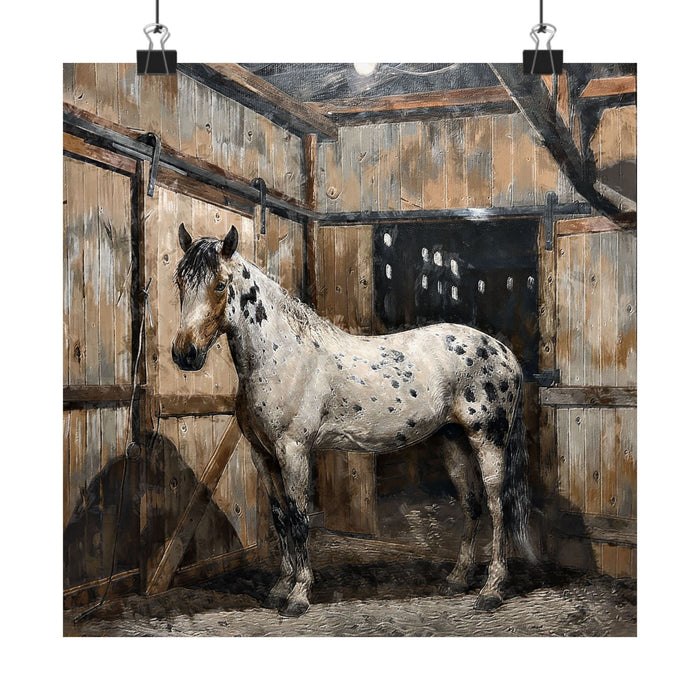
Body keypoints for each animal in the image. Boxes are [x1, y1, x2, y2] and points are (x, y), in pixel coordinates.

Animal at [172, 223, 535, 617]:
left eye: (220, 284)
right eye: (180, 281)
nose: (185, 353)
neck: (281, 355)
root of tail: (504, 352)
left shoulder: (293, 450)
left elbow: (298, 517)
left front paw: (299, 594)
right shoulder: (262, 455)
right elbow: (280, 517)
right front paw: (280, 587)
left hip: (487, 439)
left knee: (498, 506)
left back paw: (492, 590)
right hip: (452, 438)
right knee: (471, 503)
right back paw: (457, 579)